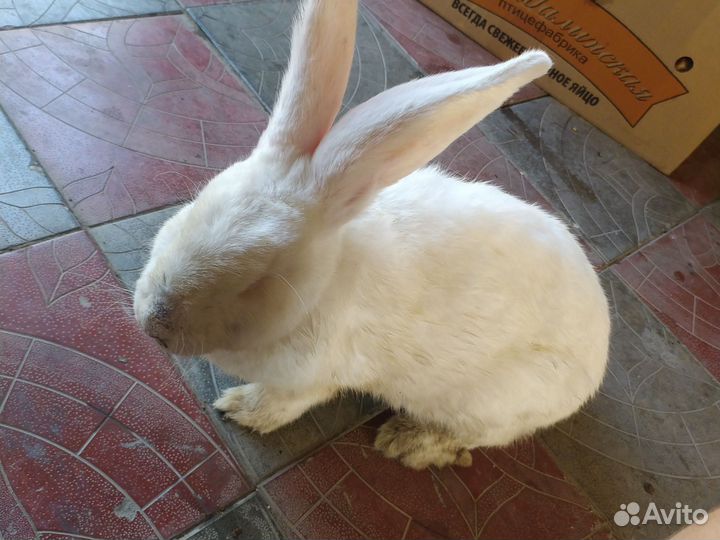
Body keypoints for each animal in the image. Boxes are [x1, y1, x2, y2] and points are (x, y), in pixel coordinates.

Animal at [133, 0, 610, 470]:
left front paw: (237, 409)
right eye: (192, 208)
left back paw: (405, 443)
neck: (322, 283)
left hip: (488, 402)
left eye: (259, 281)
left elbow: (281, 405)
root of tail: (600, 348)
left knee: (468, 437)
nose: (154, 323)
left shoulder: (311, 377)